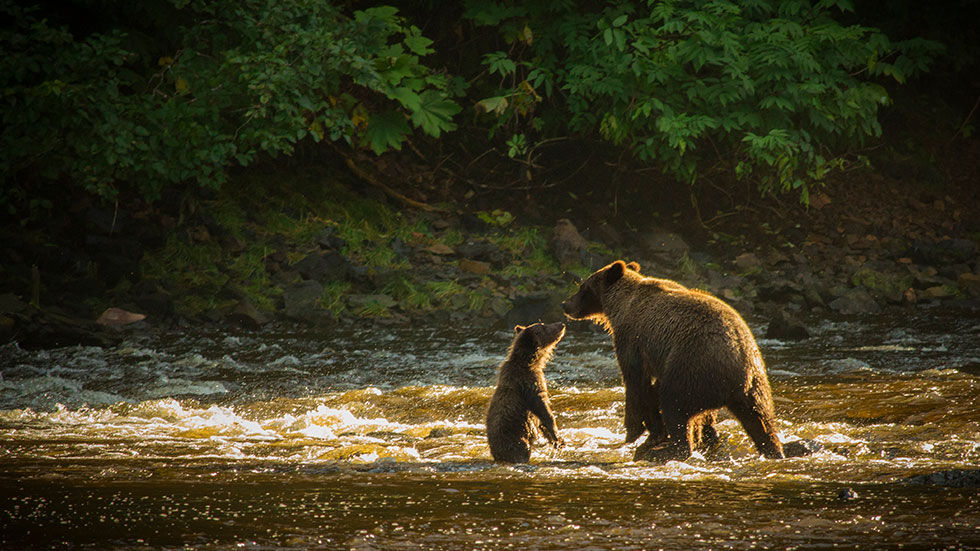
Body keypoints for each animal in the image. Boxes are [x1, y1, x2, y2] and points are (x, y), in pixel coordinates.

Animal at [488, 322, 568, 464]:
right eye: (544, 326)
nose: (562, 324)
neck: (531, 362)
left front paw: (555, 441)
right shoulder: (529, 383)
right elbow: (543, 409)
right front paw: (558, 439)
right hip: (516, 437)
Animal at [564, 260, 784, 464]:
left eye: (582, 287)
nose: (565, 304)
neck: (620, 306)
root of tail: (739, 373)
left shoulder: (632, 339)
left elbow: (635, 382)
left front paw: (634, 431)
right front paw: (653, 433)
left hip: (692, 367)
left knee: (674, 404)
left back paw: (664, 451)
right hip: (755, 386)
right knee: (761, 421)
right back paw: (773, 450)